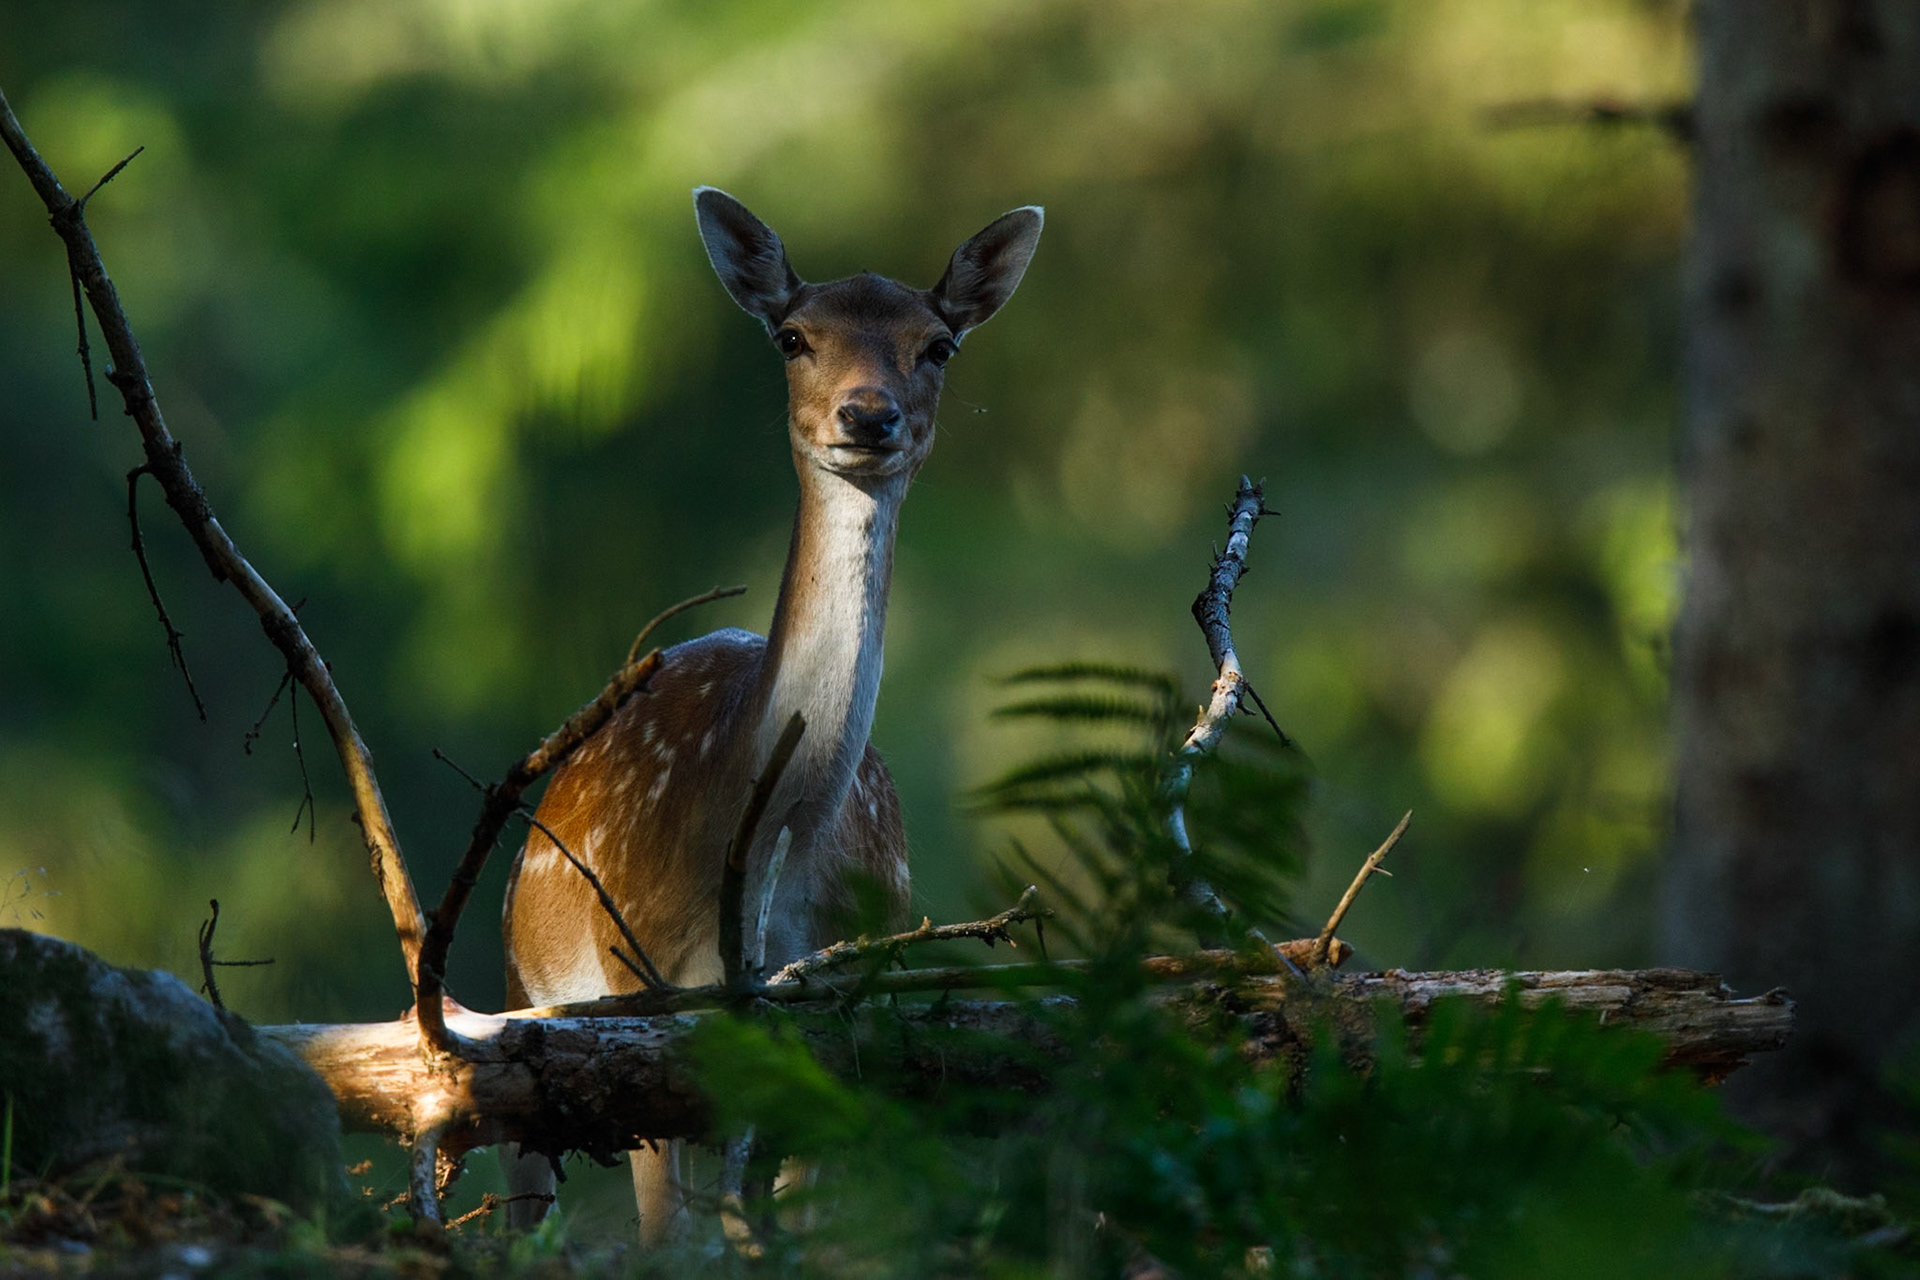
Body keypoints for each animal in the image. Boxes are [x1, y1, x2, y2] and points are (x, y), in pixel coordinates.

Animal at [499, 187, 1043, 1241]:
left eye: (938, 344)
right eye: (794, 336)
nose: (867, 415)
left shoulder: (836, 1016)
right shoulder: (642, 997)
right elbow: (665, 1242)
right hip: (518, 1001)